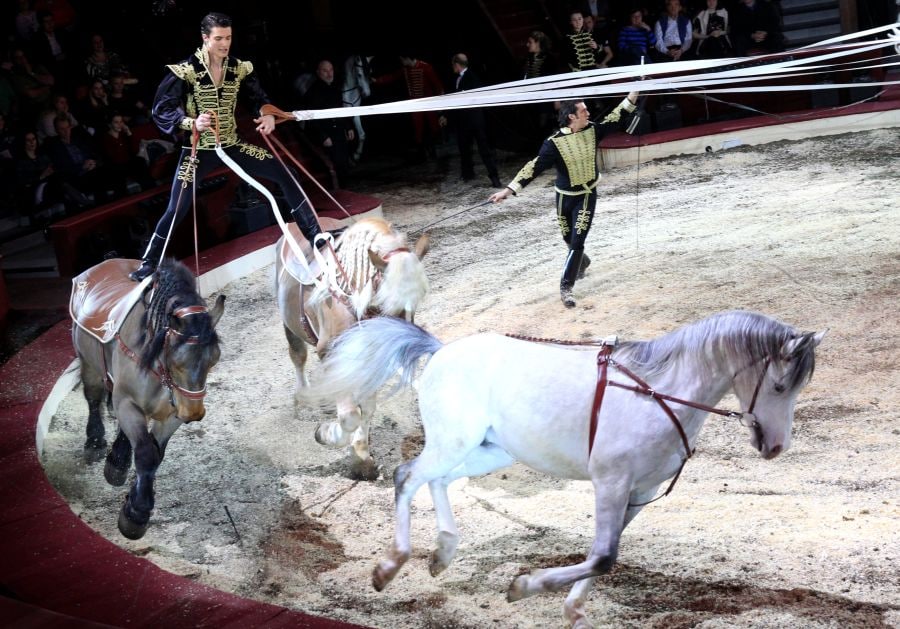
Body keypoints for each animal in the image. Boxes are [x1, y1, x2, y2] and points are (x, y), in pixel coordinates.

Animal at [71, 258, 225, 536]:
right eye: (177, 360)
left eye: (214, 360)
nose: (194, 413)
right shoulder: (127, 402)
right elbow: (145, 452)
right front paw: (136, 513)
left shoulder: (174, 411)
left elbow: (155, 452)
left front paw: (131, 493)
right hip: (88, 363)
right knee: (93, 398)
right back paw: (95, 442)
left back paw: (118, 459)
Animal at [274, 213, 428, 478]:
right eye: (389, 305)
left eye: (415, 306)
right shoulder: (331, 352)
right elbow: (350, 416)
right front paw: (326, 434)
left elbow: (366, 407)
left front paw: (361, 456)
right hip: (290, 326)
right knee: (298, 357)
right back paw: (304, 400)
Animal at [302, 312, 824, 624]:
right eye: (780, 386)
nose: (776, 446)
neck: (660, 393)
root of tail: (443, 349)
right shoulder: (611, 483)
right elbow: (604, 555)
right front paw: (524, 587)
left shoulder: (637, 493)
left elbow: (605, 555)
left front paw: (571, 609)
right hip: (454, 441)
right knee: (407, 476)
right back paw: (390, 567)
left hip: (488, 450)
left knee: (438, 480)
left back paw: (443, 553)